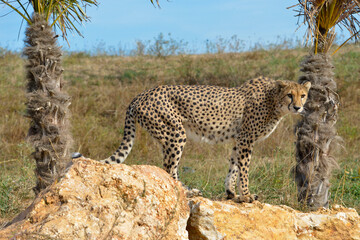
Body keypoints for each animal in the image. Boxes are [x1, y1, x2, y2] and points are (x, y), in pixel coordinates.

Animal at [100, 77, 310, 202]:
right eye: (290, 95)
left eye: (303, 95)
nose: (298, 107)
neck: (273, 101)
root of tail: (141, 94)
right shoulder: (246, 139)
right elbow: (244, 169)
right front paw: (246, 195)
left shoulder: (239, 140)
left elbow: (234, 166)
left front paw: (231, 193)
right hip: (176, 133)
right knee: (169, 168)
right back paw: (186, 192)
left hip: (166, 135)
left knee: (168, 166)